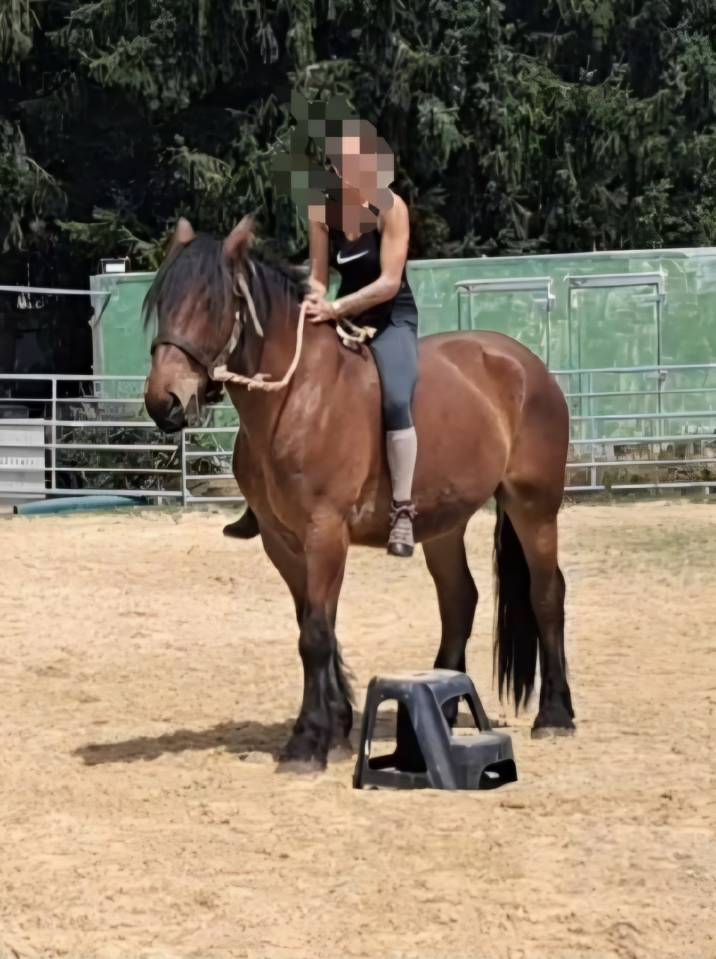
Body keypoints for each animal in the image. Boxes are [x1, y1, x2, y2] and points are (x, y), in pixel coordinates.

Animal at [143, 216, 575, 769]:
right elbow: (313, 624)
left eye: (213, 303)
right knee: (460, 599)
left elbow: (314, 634)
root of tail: (527, 364)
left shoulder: (325, 533)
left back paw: (556, 715)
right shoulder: (281, 541)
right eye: (163, 302)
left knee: (547, 593)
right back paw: (442, 709)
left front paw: (307, 741)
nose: (164, 402)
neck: (295, 397)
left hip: (533, 506)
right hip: (444, 523)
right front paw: (336, 724)